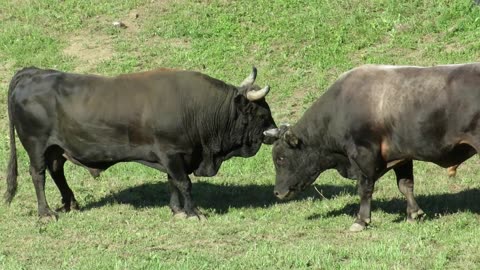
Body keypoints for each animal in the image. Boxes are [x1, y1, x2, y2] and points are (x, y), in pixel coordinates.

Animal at [6, 66, 278, 220]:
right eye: (261, 113)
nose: (276, 132)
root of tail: (33, 73)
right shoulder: (172, 152)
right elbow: (184, 183)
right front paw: (193, 212)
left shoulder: (175, 156)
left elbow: (172, 182)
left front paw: (177, 210)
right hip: (36, 145)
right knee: (38, 174)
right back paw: (45, 213)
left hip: (56, 148)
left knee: (56, 171)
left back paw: (70, 203)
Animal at [264, 62, 480, 231]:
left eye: (281, 158)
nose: (277, 193)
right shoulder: (402, 155)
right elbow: (405, 185)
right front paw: (413, 214)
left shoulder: (363, 155)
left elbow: (365, 188)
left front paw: (361, 220)